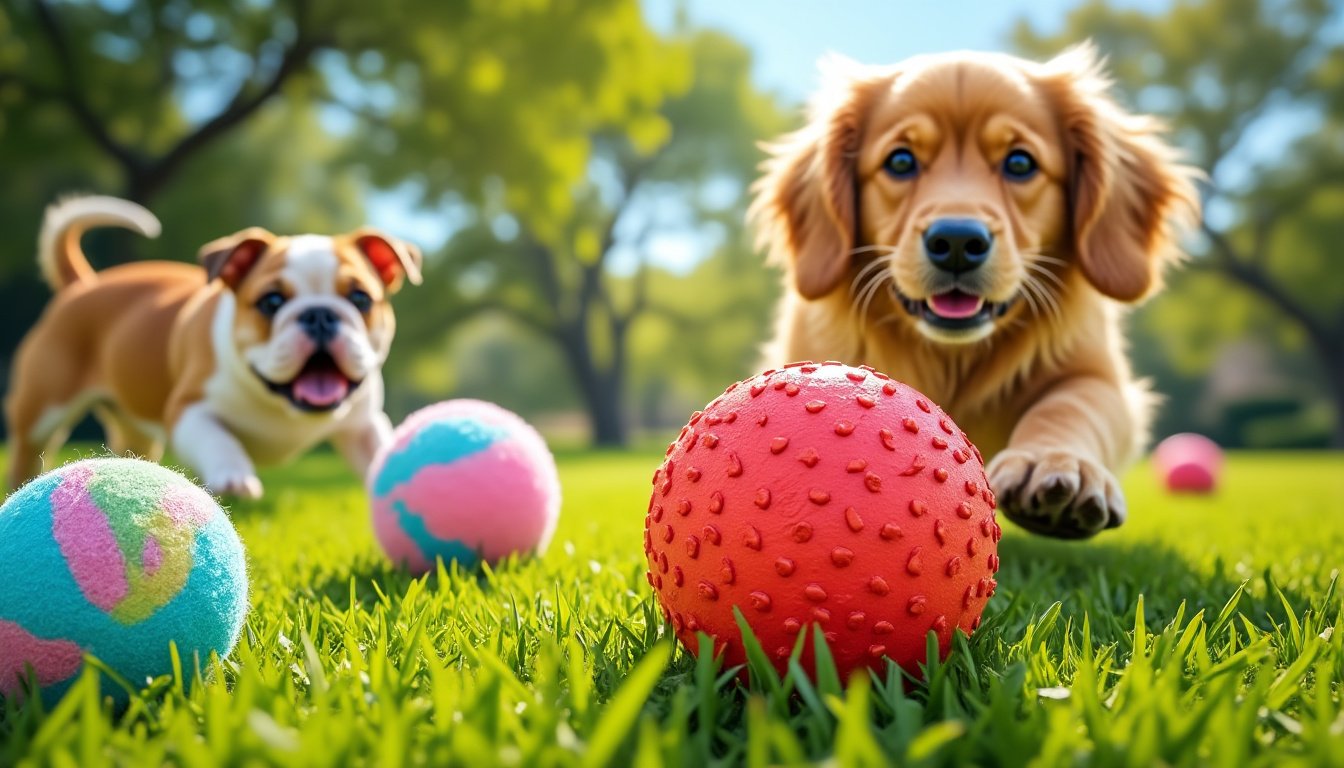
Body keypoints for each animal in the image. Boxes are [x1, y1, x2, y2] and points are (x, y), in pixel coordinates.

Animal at [2, 195, 422, 497]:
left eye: (361, 298)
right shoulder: (190, 410)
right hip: (42, 410)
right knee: (28, 451)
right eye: (271, 301)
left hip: (134, 429)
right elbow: (220, 440)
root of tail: (82, 286)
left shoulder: (364, 424)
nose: (319, 315)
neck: (281, 406)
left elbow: (378, 450)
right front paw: (234, 477)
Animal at [752, 45, 1204, 538]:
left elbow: (1070, 406)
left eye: (1020, 164)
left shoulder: (1098, 374)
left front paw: (1054, 463)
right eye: (900, 162)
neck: (954, 358)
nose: (956, 241)